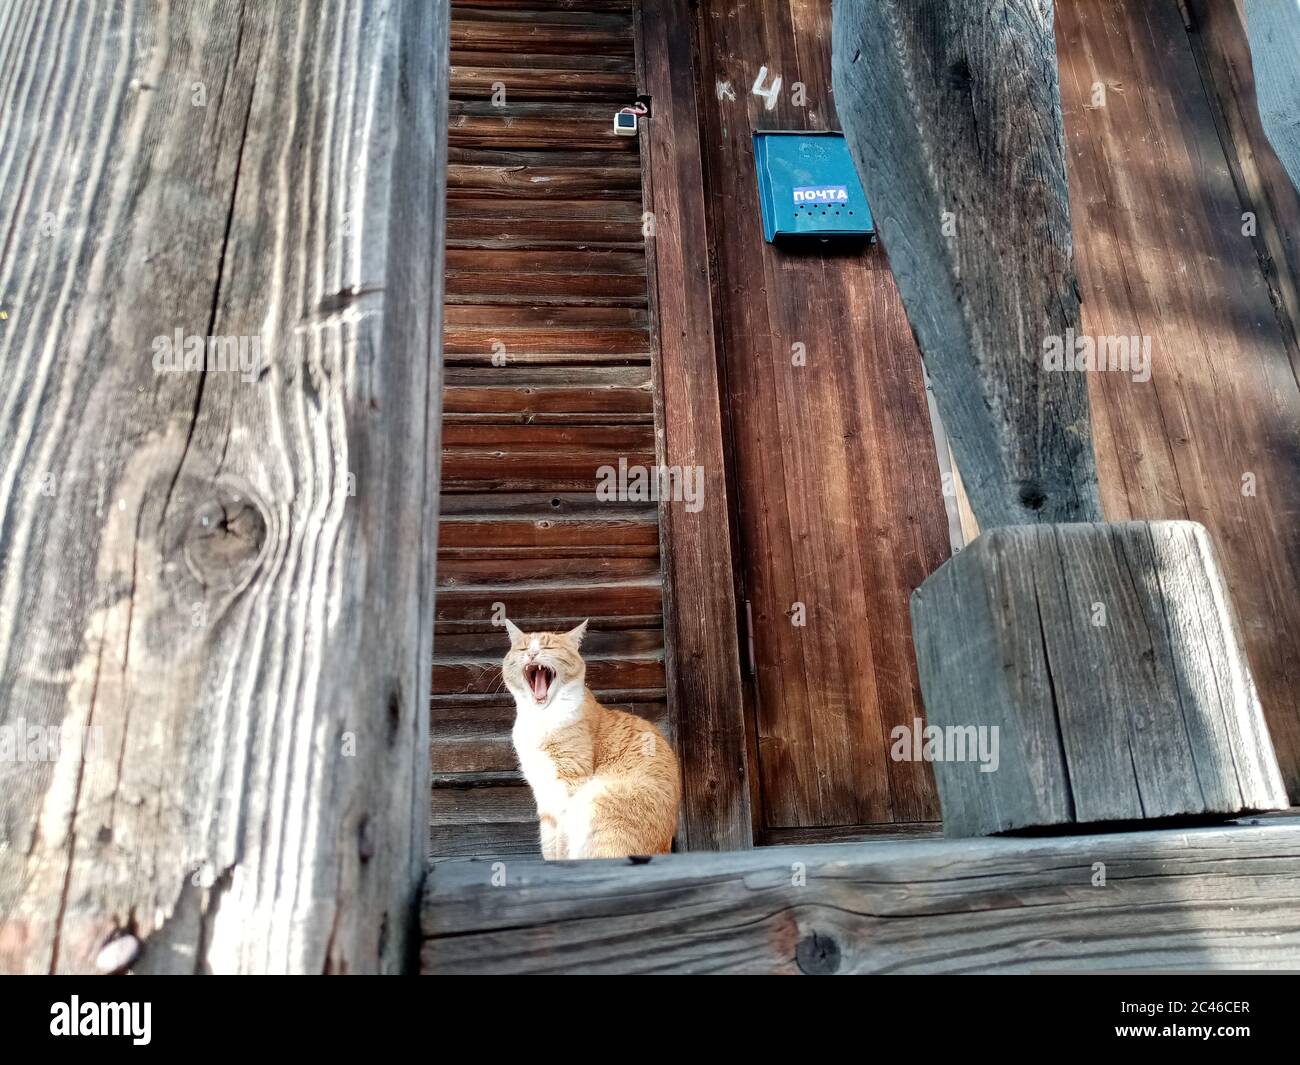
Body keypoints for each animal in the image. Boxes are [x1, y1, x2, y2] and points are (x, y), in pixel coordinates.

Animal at [499, 621, 681, 863]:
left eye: (548, 647)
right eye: (523, 649)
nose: (532, 654)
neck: (541, 717)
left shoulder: (570, 782)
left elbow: (562, 841)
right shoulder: (544, 795)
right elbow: (549, 843)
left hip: (600, 803)